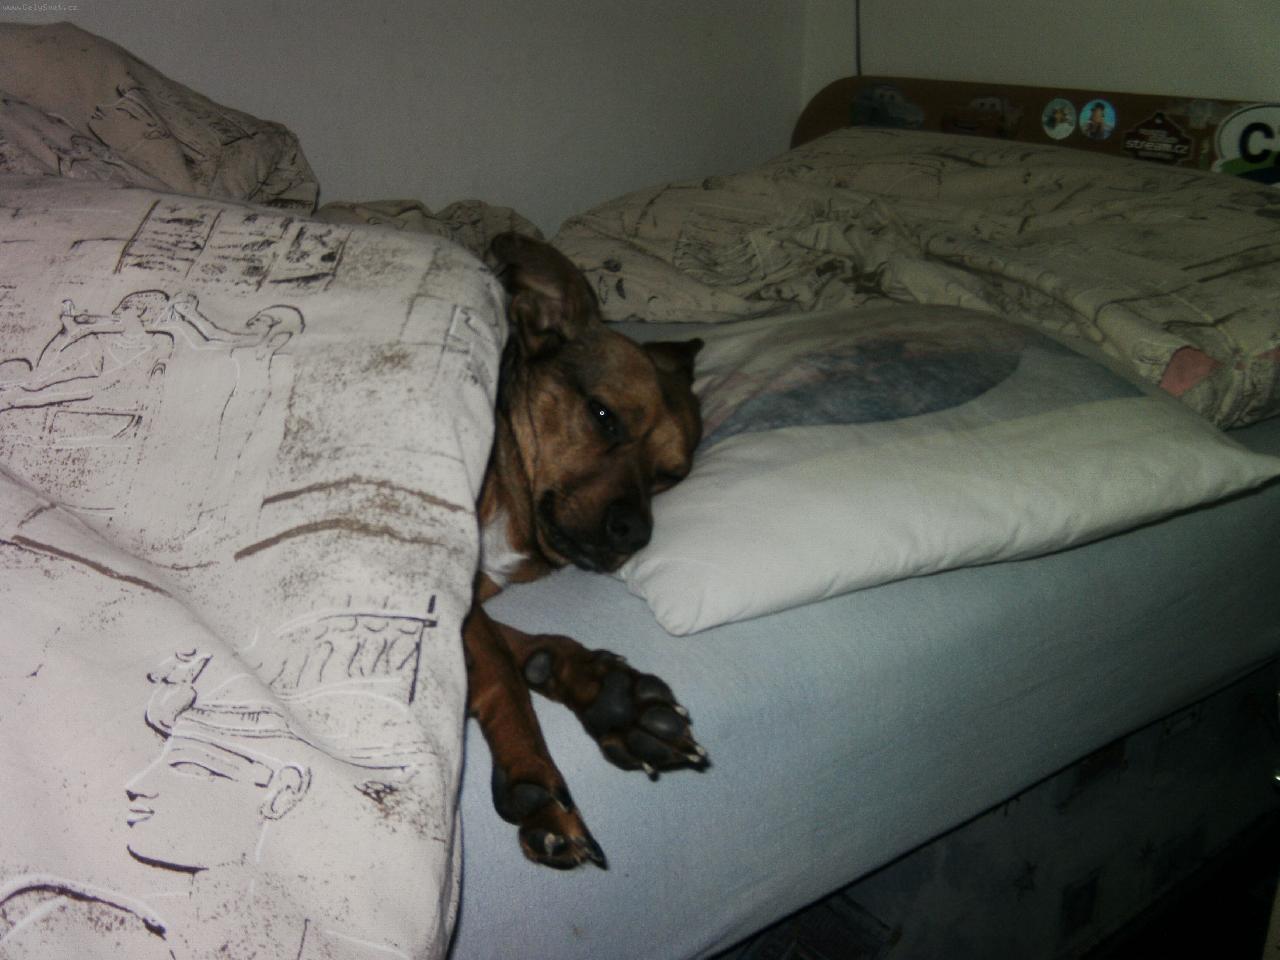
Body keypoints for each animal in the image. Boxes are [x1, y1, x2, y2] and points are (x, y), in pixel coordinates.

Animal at [464, 233, 707, 869]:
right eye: (603, 415)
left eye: (670, 476)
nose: (635, 532)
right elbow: (500, 668)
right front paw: (534, 783)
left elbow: (521, 647)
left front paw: (610, 696)